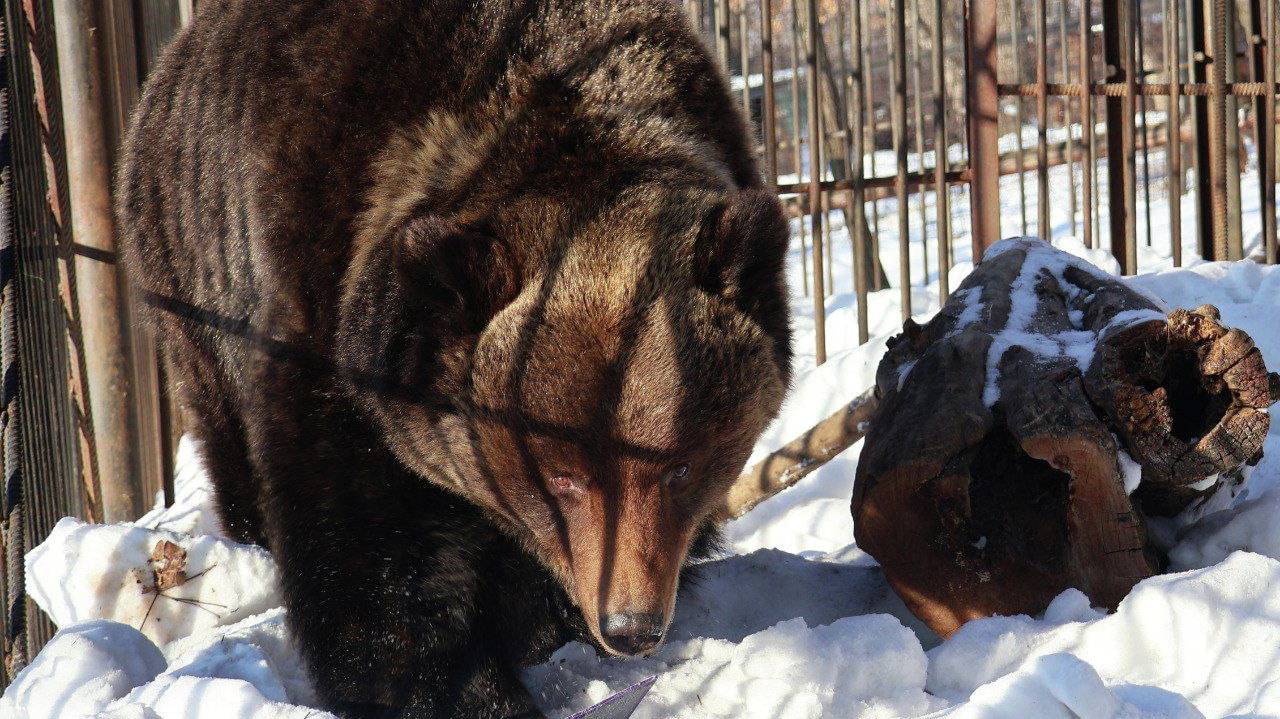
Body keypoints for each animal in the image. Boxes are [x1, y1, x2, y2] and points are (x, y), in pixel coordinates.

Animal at [122, 1, 788, 716]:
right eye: (561, 477)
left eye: (682, 466)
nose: (631, 625)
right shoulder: (322, 320)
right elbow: (373, 574)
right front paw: (462, 683)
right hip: (190, 272)